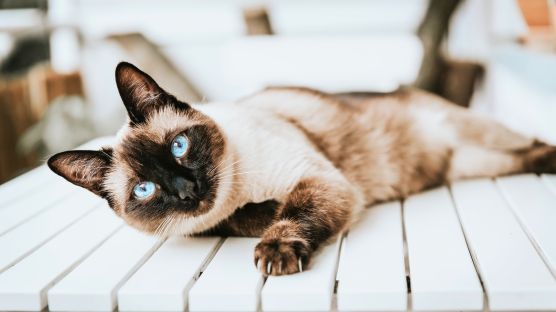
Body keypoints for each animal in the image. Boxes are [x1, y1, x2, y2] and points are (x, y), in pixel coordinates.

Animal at [46, 62, 556, 276]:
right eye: (146, 191)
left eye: (179, 145)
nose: (187, 189)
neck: (237, 194)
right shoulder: (216, 222)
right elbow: (251, 217)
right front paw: (259, 217)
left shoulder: (320, 180)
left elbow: (292, 214)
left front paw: (276, 252)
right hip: (471, 165)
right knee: (521, 157)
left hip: (477, 135)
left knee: (532, 141)